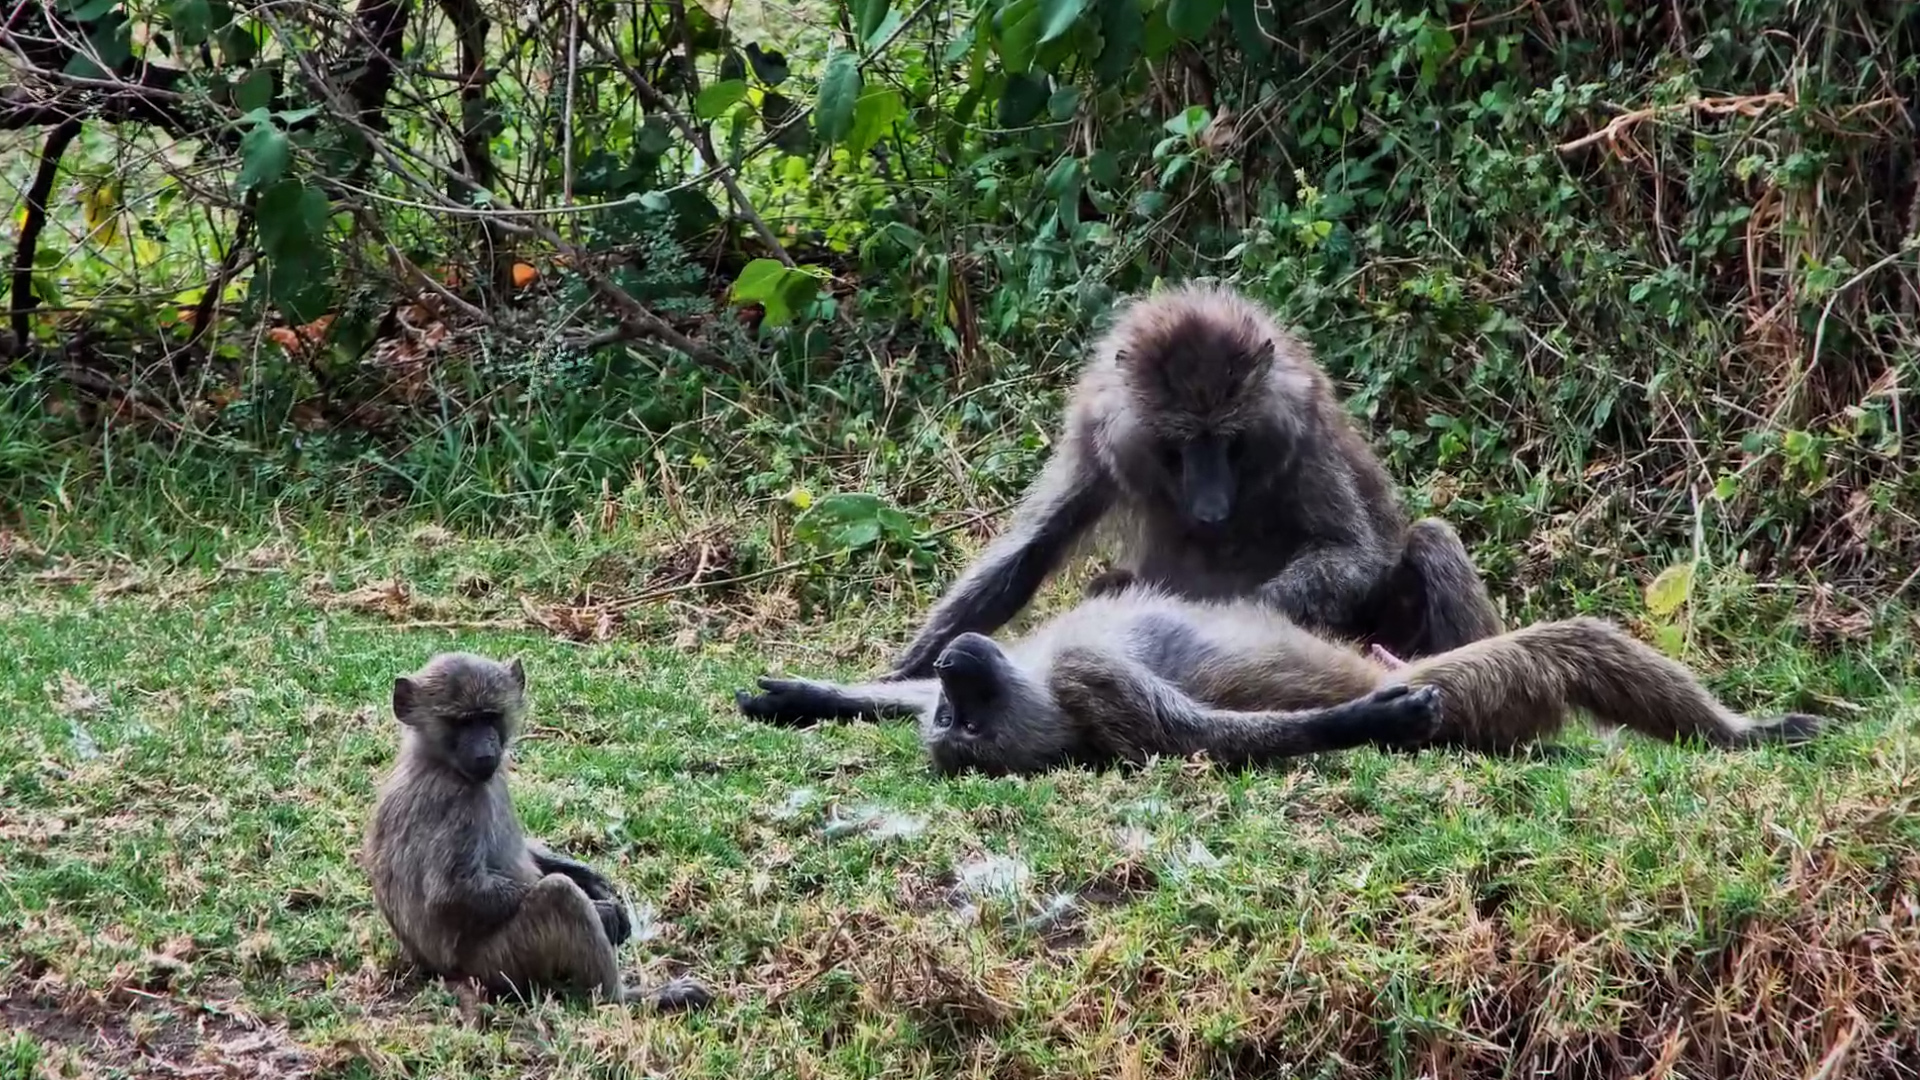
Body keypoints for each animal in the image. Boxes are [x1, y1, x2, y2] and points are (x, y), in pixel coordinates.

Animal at [364, 652, 712, 1010]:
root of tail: (437, 971)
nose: (486, 749)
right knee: (559, 896)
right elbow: (452, 893)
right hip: (497, 964)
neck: (438, 761)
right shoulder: (452, 803)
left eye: (489, 717)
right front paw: (602, 912)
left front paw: (593, 882)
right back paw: (629, 998)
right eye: (462, 722)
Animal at [885, 281, 1501, 683]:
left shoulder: (1300, 427)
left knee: (1429, 540)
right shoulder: (1096, 432)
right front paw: (907, 668)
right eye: (1180, 443)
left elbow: (1351, 552)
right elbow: (1034, 546)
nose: (1211, 509)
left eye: (1230, 439)